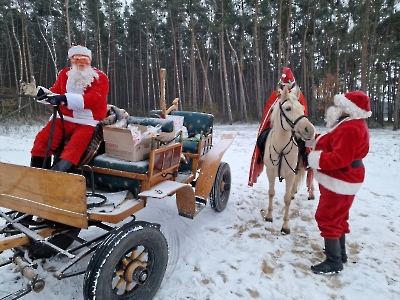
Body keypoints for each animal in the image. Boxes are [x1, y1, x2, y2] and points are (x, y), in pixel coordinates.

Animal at [262, 85, 316, 236]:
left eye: (302, 108)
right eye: (288, 109)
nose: (309, 130)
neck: (281, 148)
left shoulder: (291, 174)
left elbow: (286, 199)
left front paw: (285, 226)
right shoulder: (270, 172)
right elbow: (271, 193)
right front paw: (269, 216)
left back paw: (311, 194)